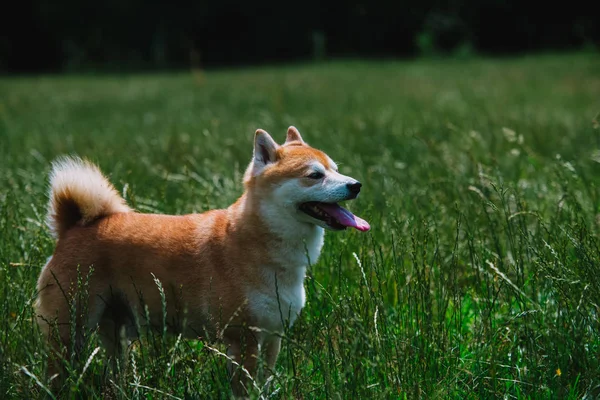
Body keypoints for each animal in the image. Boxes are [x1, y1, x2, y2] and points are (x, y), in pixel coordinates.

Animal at [35, 126, 370, 396]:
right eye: (315, 175)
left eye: (335, 169)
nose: (356, 185)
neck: (259, 242)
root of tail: (74, 226)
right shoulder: (244, 339)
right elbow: (245, 389)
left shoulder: (272, 336)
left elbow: (264, 382)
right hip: (69, 331)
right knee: (57, 374)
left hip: (117, 333)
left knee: (113, 374)